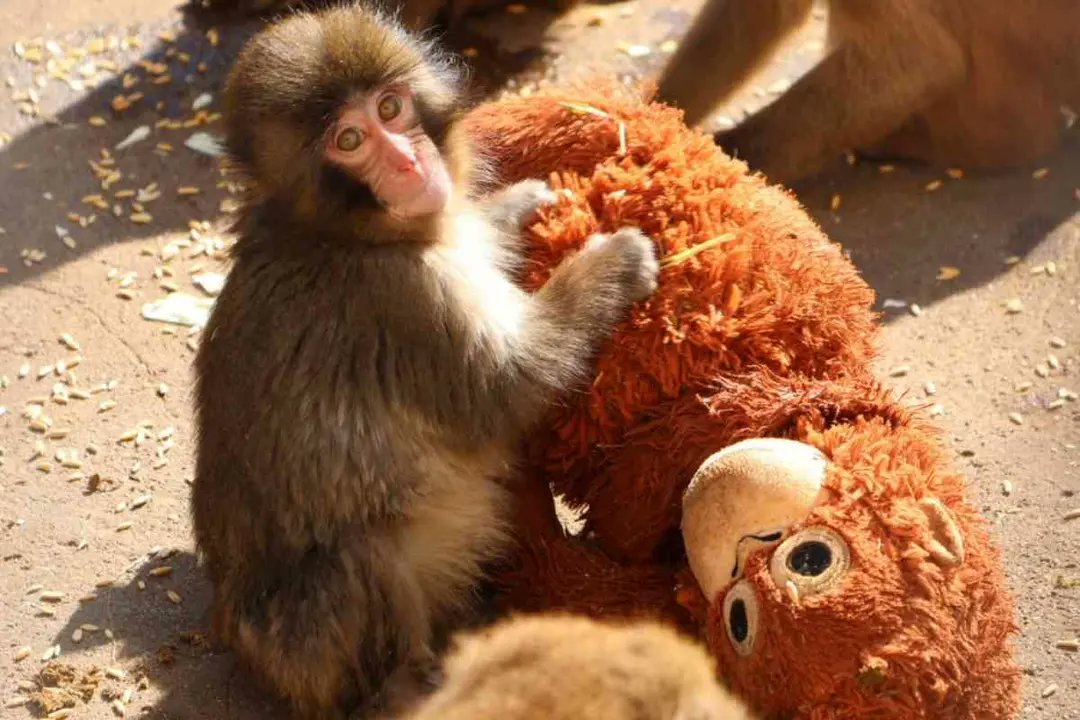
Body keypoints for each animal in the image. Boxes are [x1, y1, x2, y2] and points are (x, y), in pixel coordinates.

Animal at [191, 4, 659, 719]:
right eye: (349, 140)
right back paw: (413, 683)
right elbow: (507, 389)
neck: (344, 233)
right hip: (307, 650)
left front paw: (518, 206)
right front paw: (612, 264)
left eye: (391, 107)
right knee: (359, 556)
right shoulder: (402, 300)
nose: (410, 162)